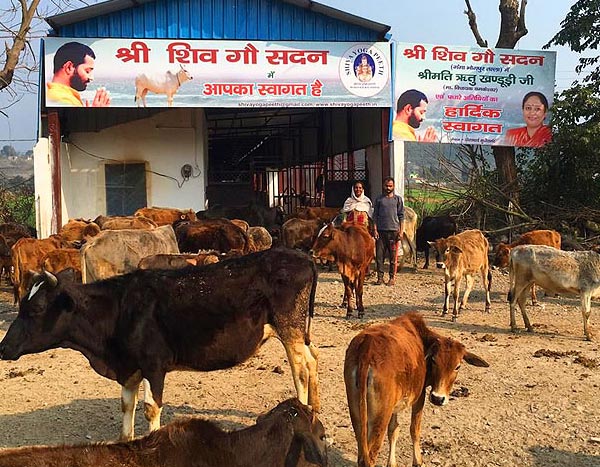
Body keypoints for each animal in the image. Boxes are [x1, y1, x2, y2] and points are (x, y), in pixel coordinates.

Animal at [0, 250, 318, 440]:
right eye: (22, 305)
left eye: (36, 308)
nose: (3, 348)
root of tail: (301, 256)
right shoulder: (129, 367)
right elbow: (126, 406)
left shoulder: (154, 365)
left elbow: (151, 408)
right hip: (298, 331)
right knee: (313, 358)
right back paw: (314, 409)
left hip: (289, 328)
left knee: (300, 369)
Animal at [344, 310, 490, 467]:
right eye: (434, 360)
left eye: (457, 366)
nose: (438, 398)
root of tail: (367, 349)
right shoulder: (420, 396)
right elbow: (414, 429)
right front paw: (417, 460)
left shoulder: (395, 404)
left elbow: (393, 430)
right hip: (380, 417)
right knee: (370, 456)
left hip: (357, 414)